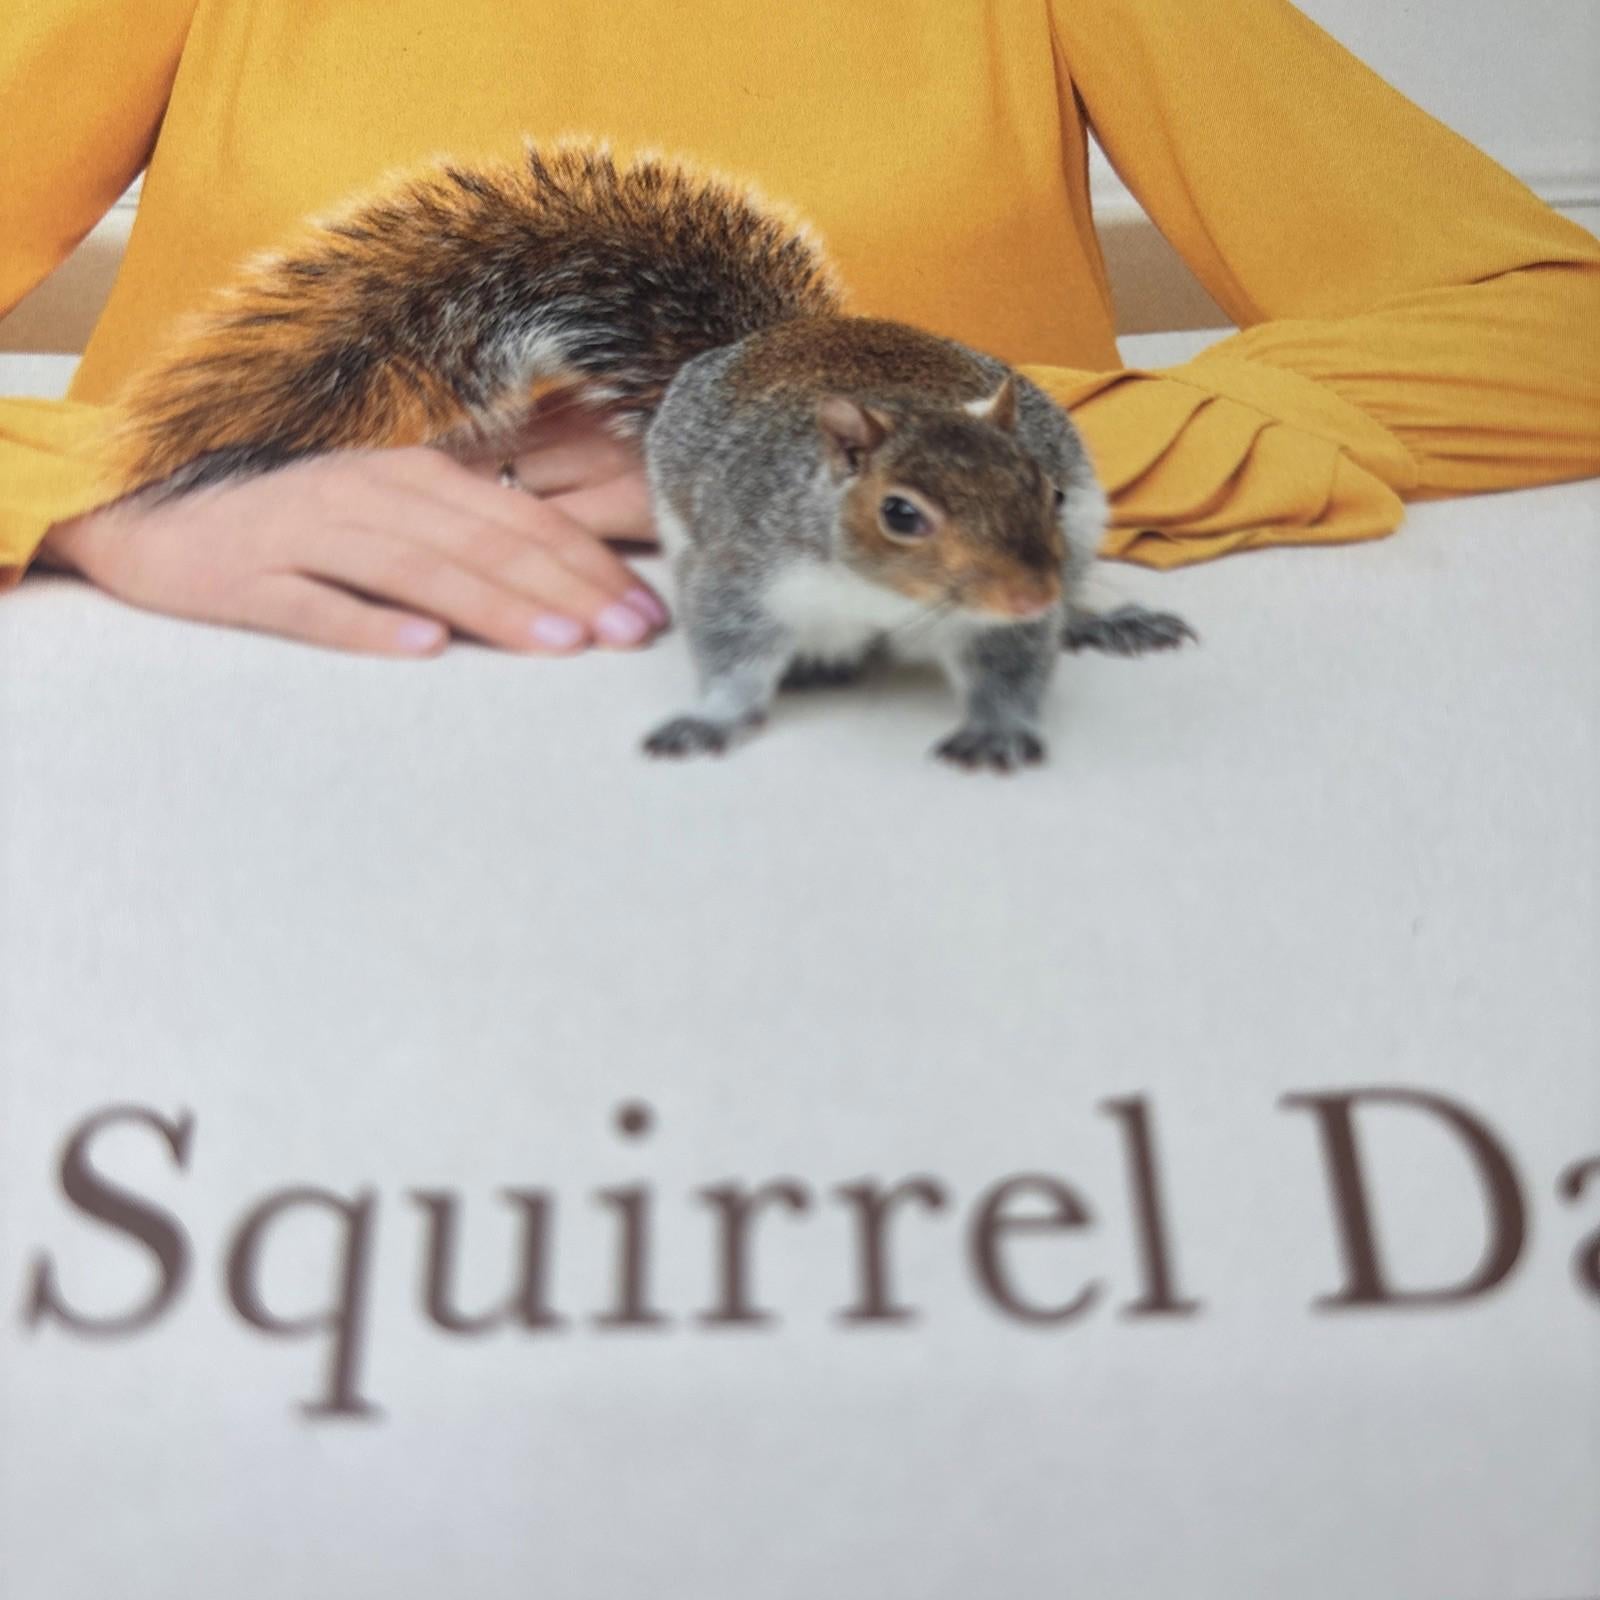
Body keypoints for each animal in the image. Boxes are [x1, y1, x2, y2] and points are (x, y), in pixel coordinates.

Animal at [110, 140, 1195, 771]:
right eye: (900, 513)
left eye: (1044, 492)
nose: (1027, 591)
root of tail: (769, 339)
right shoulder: (740, 565)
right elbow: (728, 651)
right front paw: (711, 717)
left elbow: (1010, 664)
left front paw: (1003, 722)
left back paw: (1104, 615)